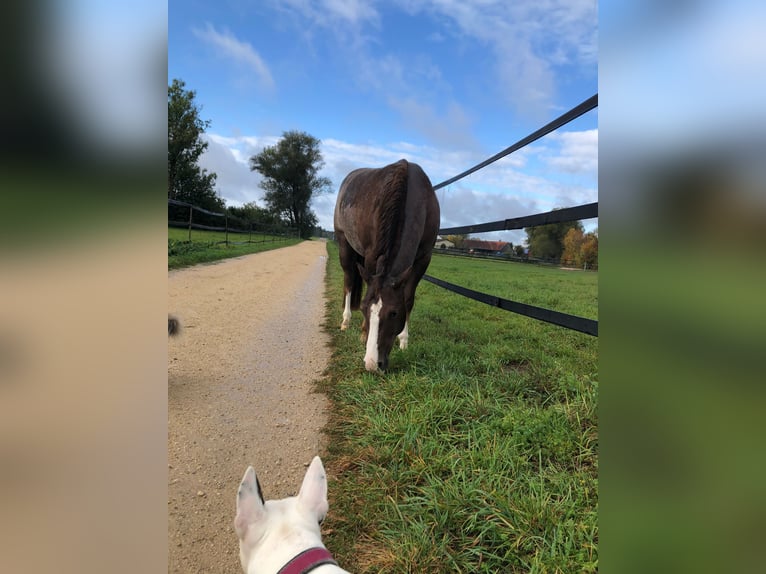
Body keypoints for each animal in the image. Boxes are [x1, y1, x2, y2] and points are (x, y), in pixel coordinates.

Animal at [332, 160, 440, 374]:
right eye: (364, 308)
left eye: (394, 313)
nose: (372, 364)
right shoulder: (371, 255)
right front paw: (363, 333)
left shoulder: (424, 258)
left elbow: (408, 298)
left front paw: (404, 341)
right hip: (344, 243)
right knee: (348, 280)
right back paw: (346, 320)